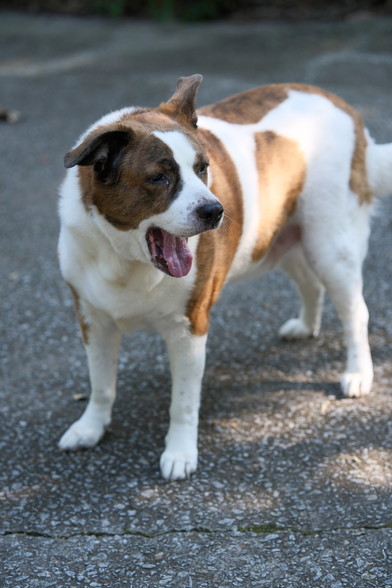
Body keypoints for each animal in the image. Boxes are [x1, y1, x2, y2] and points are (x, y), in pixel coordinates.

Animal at [58, 74, 392, 478]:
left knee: (355, 312)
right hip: (281, 236)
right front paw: (90, 427)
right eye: (159, 178)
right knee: (309, 282)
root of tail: (341, 104)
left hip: (330, 245)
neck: (124, 257)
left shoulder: (190, 328)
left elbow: (183, 401)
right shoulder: (93, 321)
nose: (214, 211)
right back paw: (306, 326)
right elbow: (101, 384)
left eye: (203, 168)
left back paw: (358, 373)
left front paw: (180, 452)